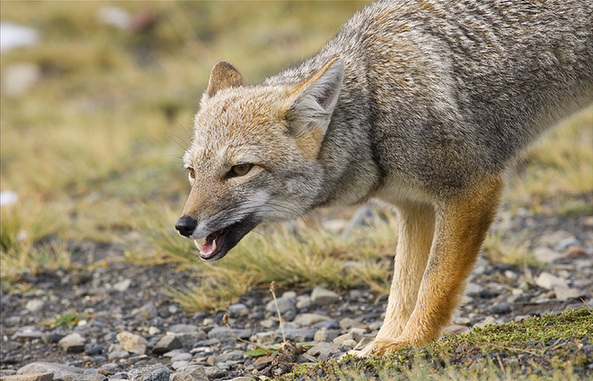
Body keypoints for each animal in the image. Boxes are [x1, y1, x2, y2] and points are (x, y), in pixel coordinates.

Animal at [176, 0, 592, 354]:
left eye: (240, 170)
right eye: (192, 173)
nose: (182, 225)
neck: (375, 110)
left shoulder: (472, 189)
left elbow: (435, 282)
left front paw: (411, 343)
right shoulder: (414, 207)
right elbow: (403, 287)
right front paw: (383, 344)